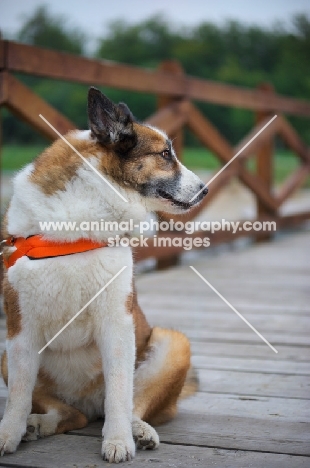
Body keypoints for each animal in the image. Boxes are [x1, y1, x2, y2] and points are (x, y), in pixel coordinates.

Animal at [0, 88, 208, 464]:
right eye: (165, 154)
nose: (205, 189)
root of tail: (88, 402)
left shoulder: (117, 324)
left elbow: (120, 394)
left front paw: (118, 440)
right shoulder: (20, 331)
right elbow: (18, 398)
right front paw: (9, 433)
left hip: (173, 344)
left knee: (129, 404)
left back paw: (137, 431)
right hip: (7, 357)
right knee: (71, 414)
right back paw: (37, 425)